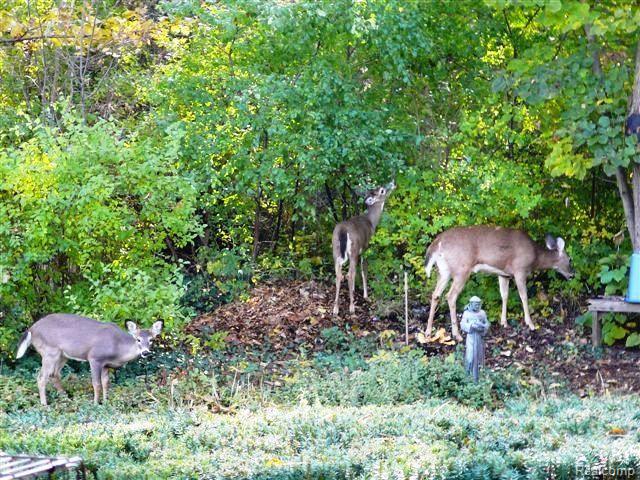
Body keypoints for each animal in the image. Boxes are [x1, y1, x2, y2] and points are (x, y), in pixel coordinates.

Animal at [15, 313, 162, 406]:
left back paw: (66, 398)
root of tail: (31, 329)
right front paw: (96, 403)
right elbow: (96, 384)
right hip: (49, 352)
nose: (145, 352)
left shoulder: (106, 365)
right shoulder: (95, 358)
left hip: (62, 355)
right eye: (138, 339)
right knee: (41, 377)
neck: (117, 348)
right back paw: (45, 404)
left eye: (151, 340)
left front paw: (106, 402)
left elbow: (106, 383)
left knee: (54, 374)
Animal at [332, 181, 395, 315]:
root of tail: (342, 231)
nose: (392, 183)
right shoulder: (366, 248)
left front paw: (354, 289)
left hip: (335, 249)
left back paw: (335, 308)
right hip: (353, 250)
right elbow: (364, 270)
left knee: (339, 274)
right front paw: (366, 295)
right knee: (349, 274)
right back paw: (351, 307)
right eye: (382, 190)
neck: (371, 221)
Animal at [424, 226, 574, 342]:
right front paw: (530, 324)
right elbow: (524, 296)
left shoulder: (504, 274)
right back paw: (457, 335)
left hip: (444, 271)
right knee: (450, 296)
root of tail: (437, 243)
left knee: (435, 294)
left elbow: (504, 295)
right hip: (462, 269)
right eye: (569, 259)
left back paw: (428, 332)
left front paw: (504, 322)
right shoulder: (519, 270)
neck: (535, 257)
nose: (572, 275)